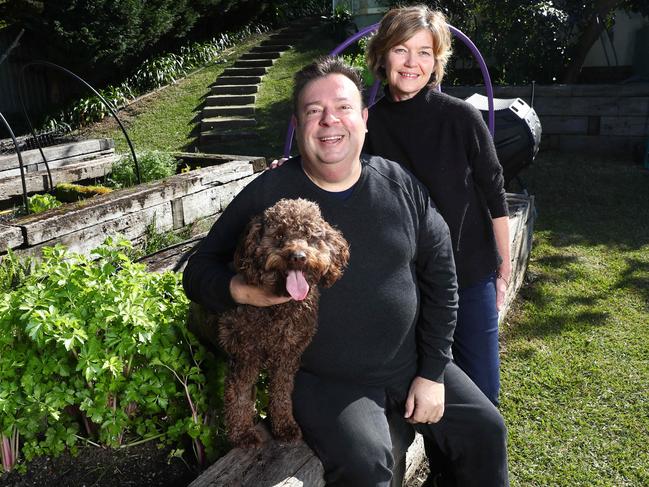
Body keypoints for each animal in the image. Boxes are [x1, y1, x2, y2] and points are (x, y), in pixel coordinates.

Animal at [218, 198, 350, 450]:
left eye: (309, 236)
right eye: (279, 235)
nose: (298, 256)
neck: (282, 307)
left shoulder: (288, 353)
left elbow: (281, 391)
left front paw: (284, 426)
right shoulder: (245, 354)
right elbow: (239, 393)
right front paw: (242, 434)